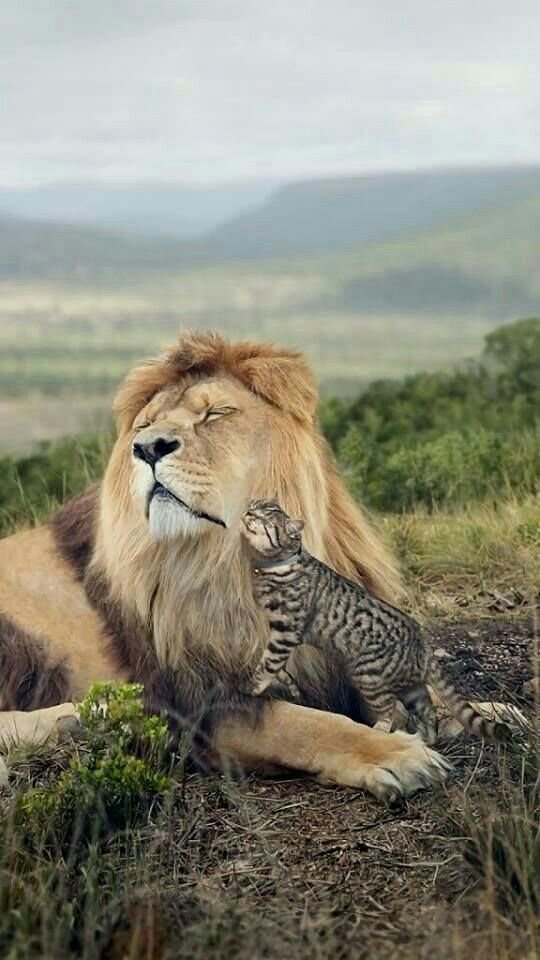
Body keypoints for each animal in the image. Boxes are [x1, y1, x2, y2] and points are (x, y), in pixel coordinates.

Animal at [0, 332, 452, 800]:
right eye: (144, 426)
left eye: (215, 413)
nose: (146, 448)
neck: (223, 560)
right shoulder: (202, 707)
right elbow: (306, 725)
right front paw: (396, 753)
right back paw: (87, 717)